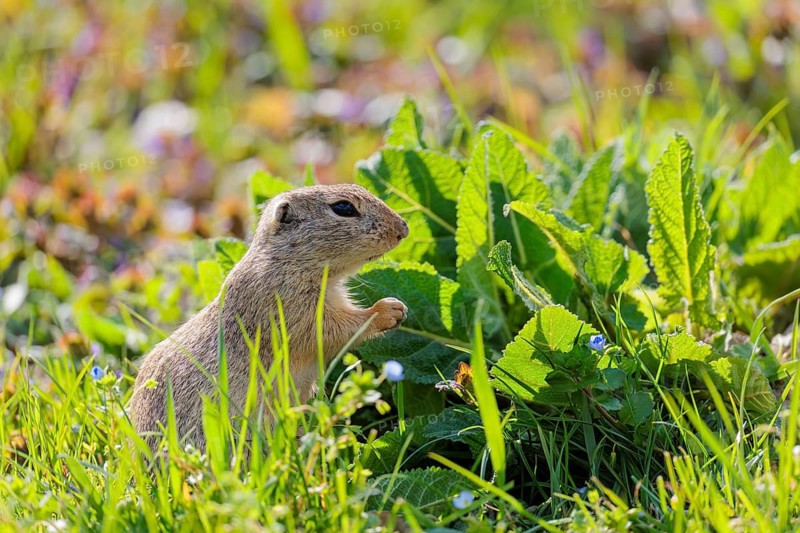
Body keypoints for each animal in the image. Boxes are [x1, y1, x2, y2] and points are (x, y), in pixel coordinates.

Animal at [129, 184, 409, 453]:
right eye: (343, 208)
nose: (403, 228)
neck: (287, 261)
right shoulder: (292, 308)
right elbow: (336, 329)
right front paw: (390, 310)